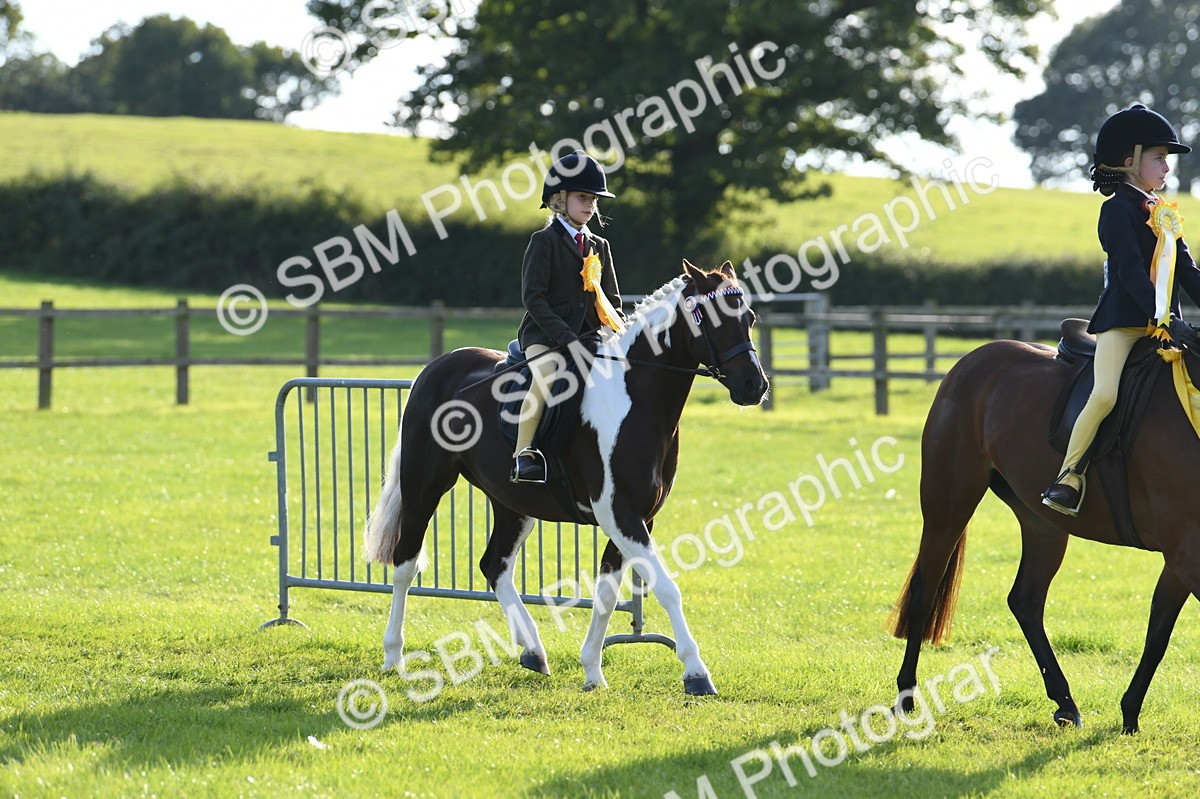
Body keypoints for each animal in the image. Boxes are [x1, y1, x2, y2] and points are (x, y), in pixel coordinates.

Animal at [363, 260, 769, 695]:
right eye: (710, 318)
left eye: (749, 318)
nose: (754, 386)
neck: (638, 399)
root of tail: (436, 368)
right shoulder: (621, 514)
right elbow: (666, 587)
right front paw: (696, 673)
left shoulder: (637, 517)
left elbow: (606, 594)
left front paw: (592, 670)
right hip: (424, 486)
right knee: (405, 564)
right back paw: (393, 656)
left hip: (513, 503)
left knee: (494, 565)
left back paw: (533, 652)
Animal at [887, 334, 1200, 733]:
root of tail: (974, 358)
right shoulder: (1187, 551)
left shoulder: (1180, 557)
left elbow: (1157, 634)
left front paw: (1130, 714)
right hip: (949, 505)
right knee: (925, 591)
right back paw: (906, 696)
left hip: (1043, 526)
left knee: (1026, 600)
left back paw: (1065, 703)